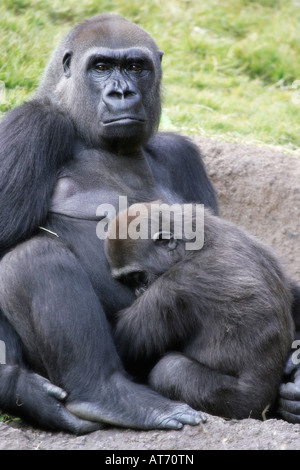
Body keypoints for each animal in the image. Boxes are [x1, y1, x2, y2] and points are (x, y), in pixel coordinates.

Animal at [105, 201, 292, 418]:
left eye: (138, 276)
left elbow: (122, 345)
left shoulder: (175, 285)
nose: (138, 291)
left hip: (245, 405)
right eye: (128, 280)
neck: (193, 244)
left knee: (170, 369)